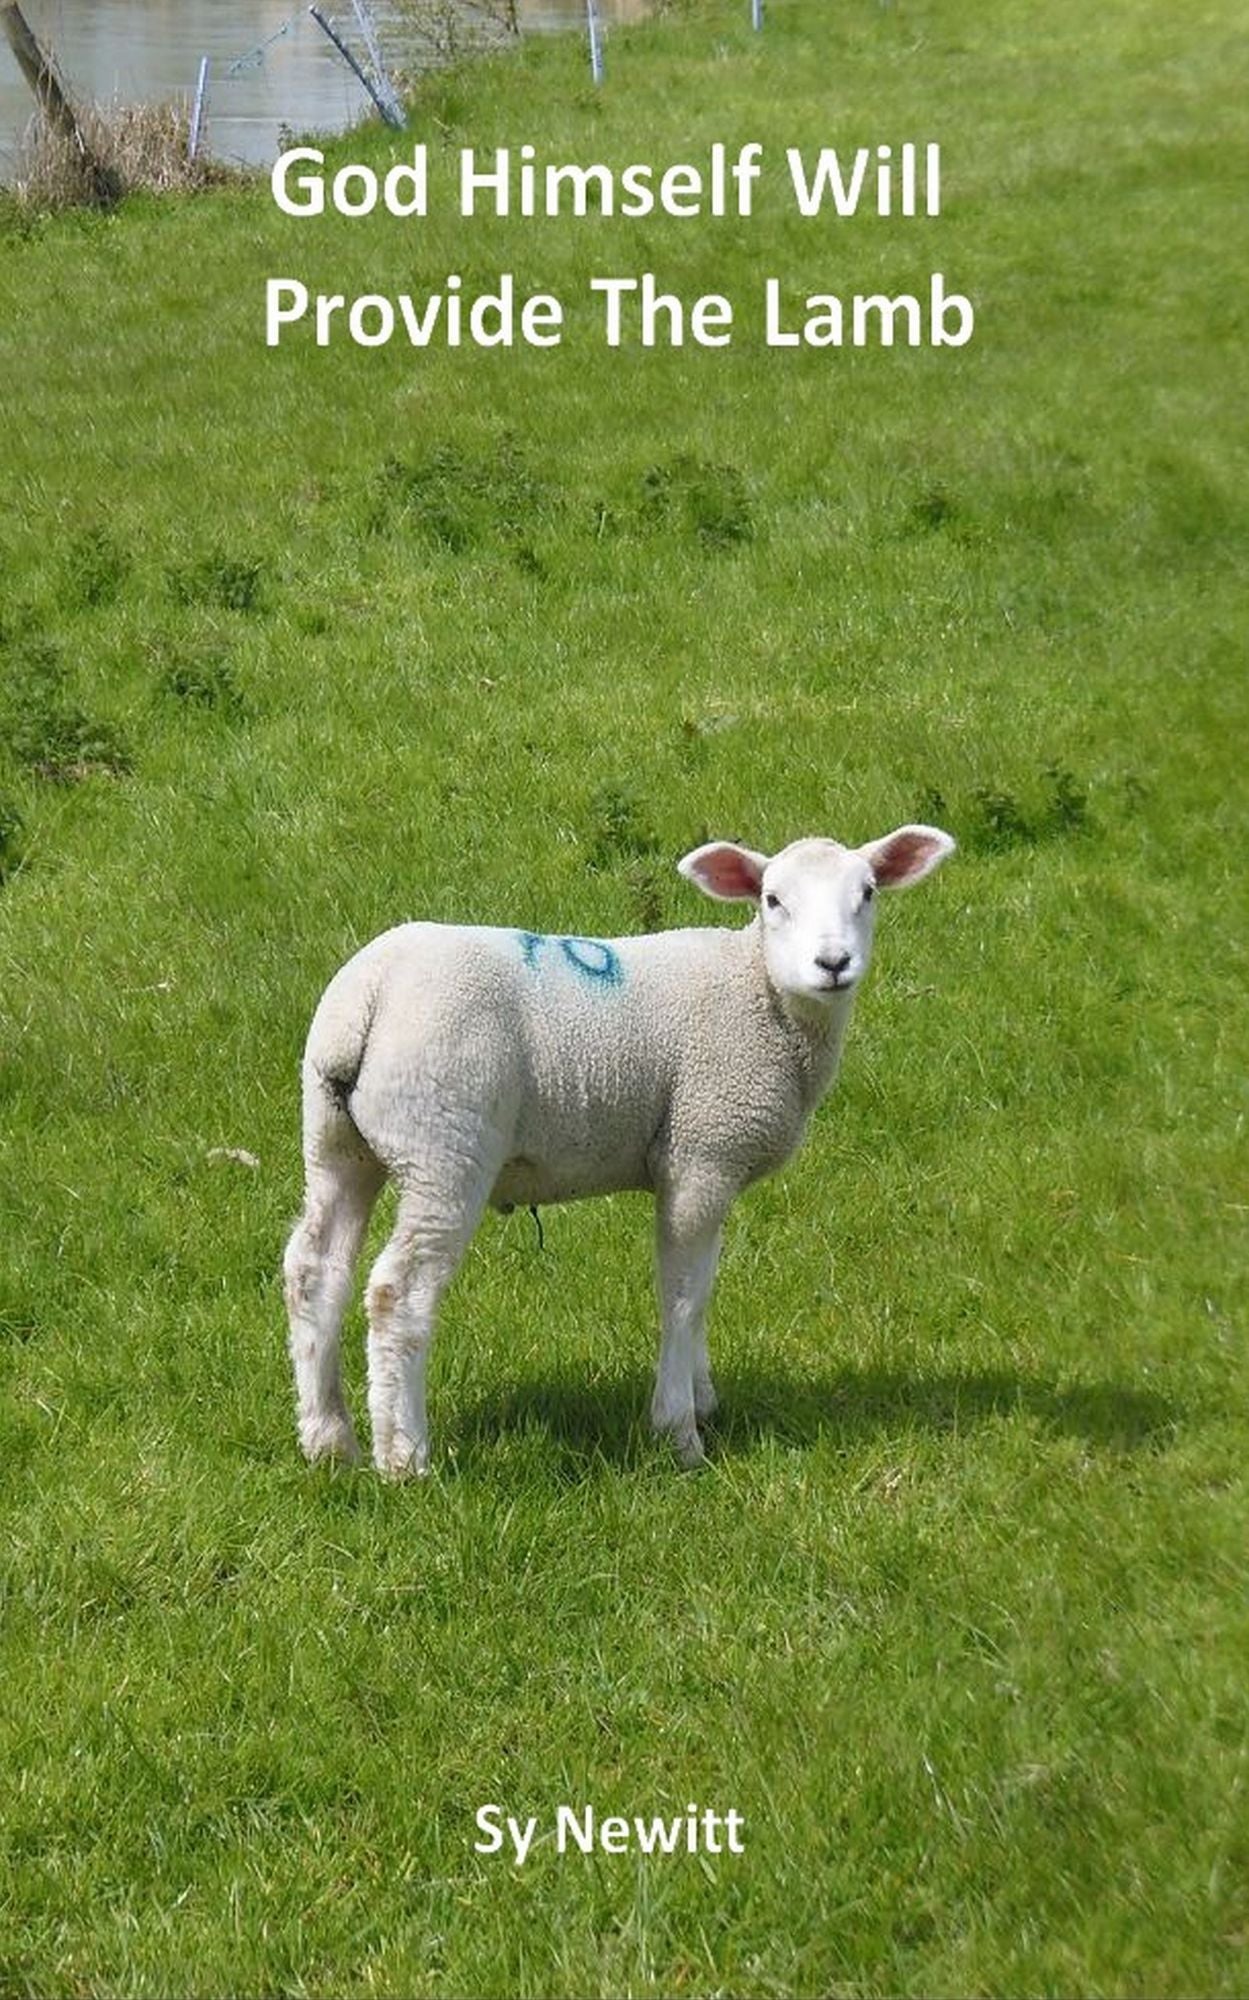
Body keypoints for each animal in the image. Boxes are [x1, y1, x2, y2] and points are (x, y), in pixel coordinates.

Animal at [282, 822, 955, 1475]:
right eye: (772, 900)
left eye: (867, 892)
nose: (833, 963)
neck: (759, 990)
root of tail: (366, 1000)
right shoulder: (700, 1154)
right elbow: (682, 1295)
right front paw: (679, 1432)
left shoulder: (711, 1166)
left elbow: (705, 1285)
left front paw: (703, 1399)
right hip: (444, 1143)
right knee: (398, 1292)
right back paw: (404, 1458)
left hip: (337, 1143)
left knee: (315, 1270)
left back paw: (328, 1441)